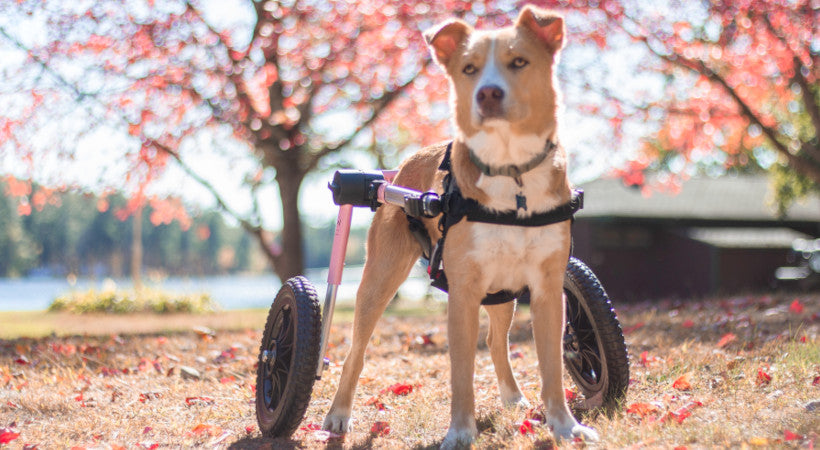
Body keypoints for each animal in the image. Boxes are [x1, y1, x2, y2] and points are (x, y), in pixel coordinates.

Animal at [320, 6, 596, 446]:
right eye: (469, 69)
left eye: (519, 62)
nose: (488, 94)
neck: (510, 170)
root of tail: (399, 169)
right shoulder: (463, 292)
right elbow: (461, 372)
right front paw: (460, 433)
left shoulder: (548, 289)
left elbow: (552, 366)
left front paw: (566, 427)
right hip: (379, 279)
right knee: (355, 352)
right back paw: (338, 414)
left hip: (502, 291)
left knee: (496, 341)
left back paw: (512, 396)